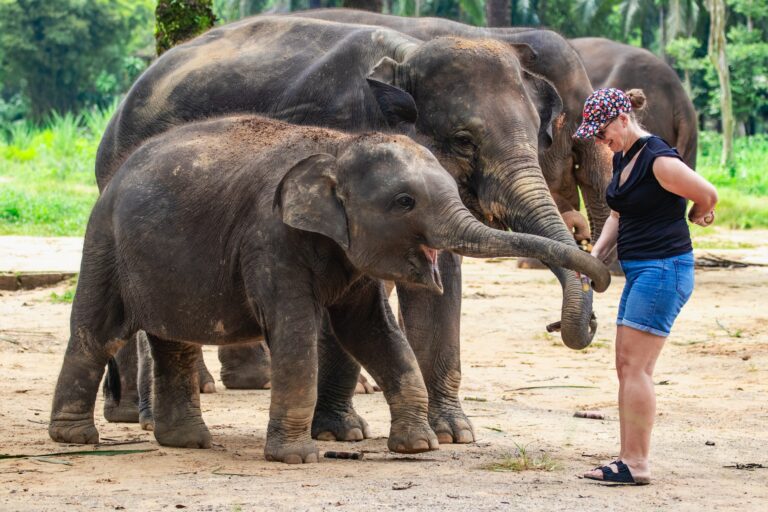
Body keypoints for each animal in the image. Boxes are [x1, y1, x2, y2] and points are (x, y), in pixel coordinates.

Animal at [49, 115, 610, 463]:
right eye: (404, 202)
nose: (578, 316)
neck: (337, 147)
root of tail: (119, 169)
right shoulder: (270, 239)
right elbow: (297, 333)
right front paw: (297, 457)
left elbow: (372, 331)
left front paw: (419, 447)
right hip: (104, 241)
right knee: (96, 333)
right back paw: (75, 438)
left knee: (175, 343)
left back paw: (188, 442)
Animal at [95, 15, 603, 444]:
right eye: (463, 140)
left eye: (540, 135)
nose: (576, 321)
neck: (405, 56)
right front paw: (341, 433)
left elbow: (440, 285)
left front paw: (454, 434)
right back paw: (144, 419)